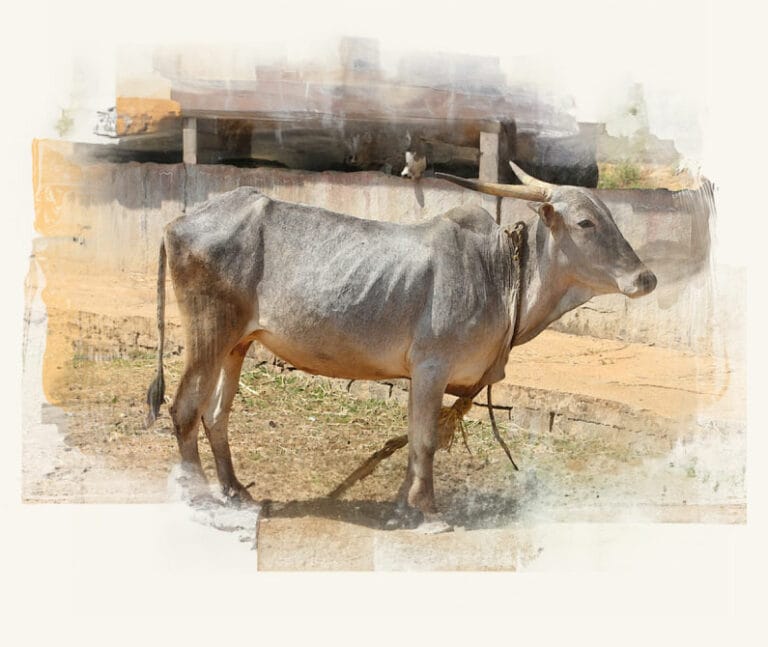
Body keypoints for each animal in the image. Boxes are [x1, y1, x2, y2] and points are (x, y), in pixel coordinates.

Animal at [146, 162, 656, 533]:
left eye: (612, 218)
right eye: (585, 222)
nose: (645, 278)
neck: (499, 274)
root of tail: (179, 221)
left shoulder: (424, 377)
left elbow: (413, 438)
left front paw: (401, 506)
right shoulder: (432, 367)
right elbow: (426, 440)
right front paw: (429, 513)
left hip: (238, 343)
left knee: (216, 414)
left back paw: (236, 491)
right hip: (209, 331)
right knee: (185, 409)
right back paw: (202, 500)